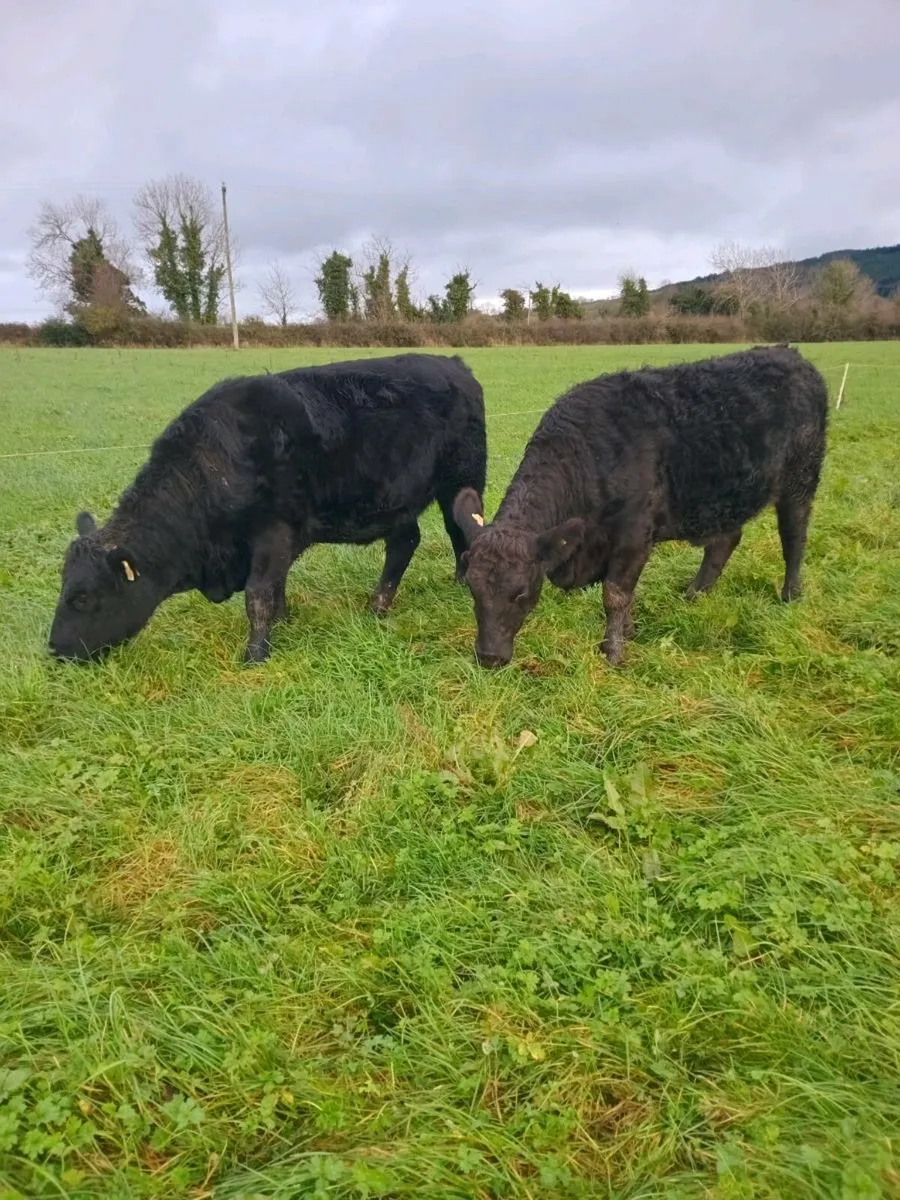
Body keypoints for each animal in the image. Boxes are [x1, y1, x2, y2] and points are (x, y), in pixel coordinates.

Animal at [49, 352, 487, 664]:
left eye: (82, 598)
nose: (53, 649)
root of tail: (452, 363)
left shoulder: (271, 532)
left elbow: (258, 594)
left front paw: (256, 655)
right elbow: (276, 586)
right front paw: (284, 621)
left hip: (462, 478)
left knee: (456, 529)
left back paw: (455, 583)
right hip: (396, 500)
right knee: (405, 541)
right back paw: (378, 605)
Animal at [451, 344, 828, 668]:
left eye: (521, 592)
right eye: (471, 588)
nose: (489, 657)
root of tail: (790, 355)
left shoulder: (634, 535)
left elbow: (615, 595)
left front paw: (613, 651)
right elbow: (626, 594)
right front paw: (629, 632)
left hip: (801, 478)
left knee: (794, 537)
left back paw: (790, 595)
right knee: (724, 541)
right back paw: (694, 595)